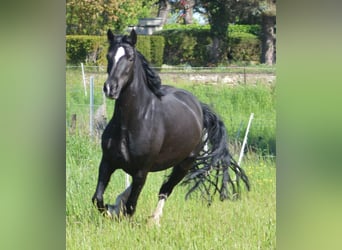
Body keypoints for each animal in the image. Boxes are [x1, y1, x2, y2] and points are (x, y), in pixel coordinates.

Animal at [92, 29, 250, 225]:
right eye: (109, 56)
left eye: (130, 58)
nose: (110, 88)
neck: (130, 124)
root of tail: (199, 107)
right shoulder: (107, 162)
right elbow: (98, 198)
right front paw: (111, 210)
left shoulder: (141, 171)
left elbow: (131, 207)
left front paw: (120, 214)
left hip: (184, 165)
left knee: (165, 189)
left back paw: (154, 220)